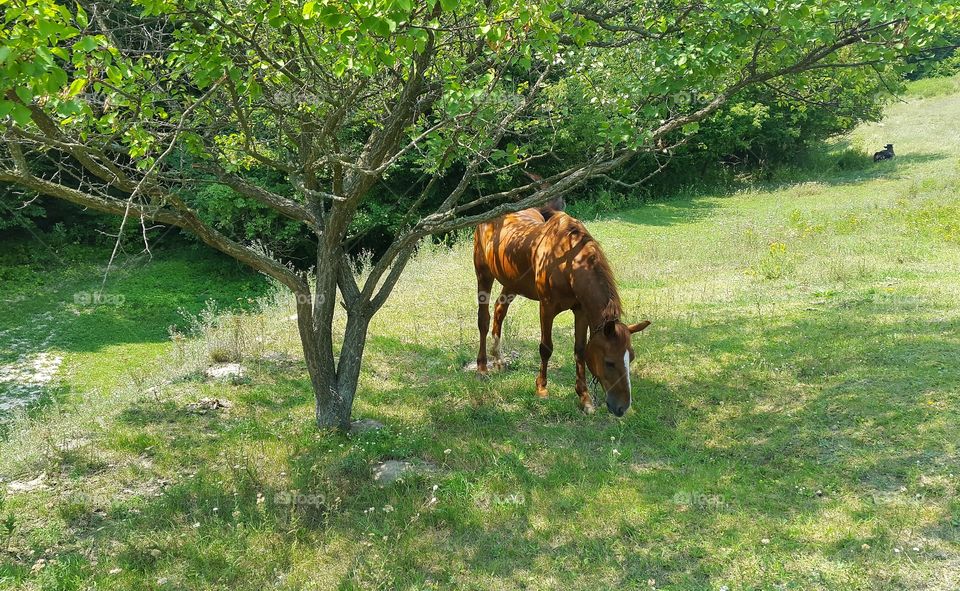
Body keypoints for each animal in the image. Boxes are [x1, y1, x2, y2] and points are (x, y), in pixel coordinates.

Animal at [474, 206, 652, 418]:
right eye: (609, 362)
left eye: (630, 357)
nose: (622, 407)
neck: (568, 262)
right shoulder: (547, 307)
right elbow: (546, 348)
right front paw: (541, 388)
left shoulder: (581, 311)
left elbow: (580, 350)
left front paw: (585, 398)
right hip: (484, 275)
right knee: (484, 320)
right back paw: (482, 367)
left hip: (511, 283)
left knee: (500, 310)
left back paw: (499, 360)